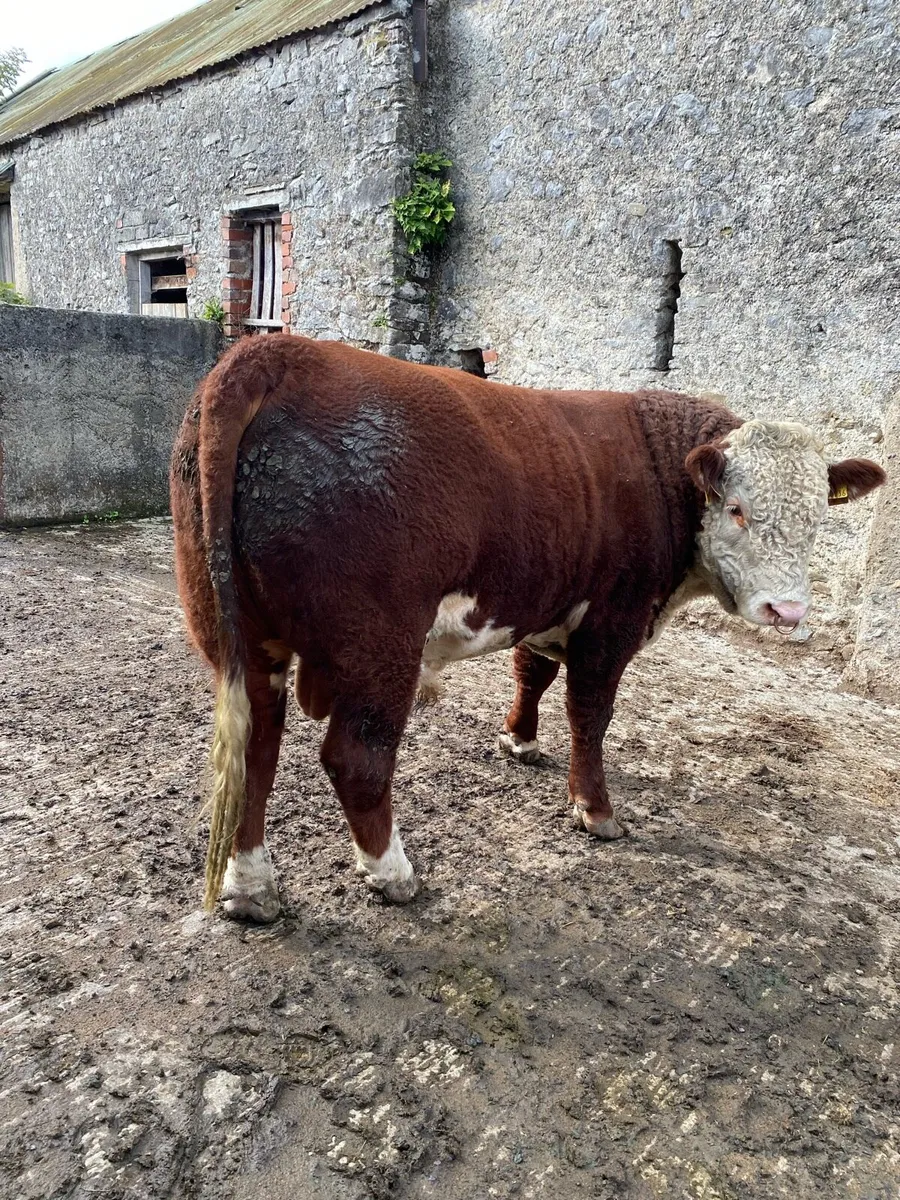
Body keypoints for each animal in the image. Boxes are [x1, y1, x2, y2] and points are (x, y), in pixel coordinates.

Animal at [170, 334, 885, 922]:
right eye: (736, 509)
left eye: (820, 517)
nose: (787, 611)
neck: (661, 470)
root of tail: (273, 352)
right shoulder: (614, 618)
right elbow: (590, 713)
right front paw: (595, 810)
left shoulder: (549, 600)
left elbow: (533, 671)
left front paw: (520, 740)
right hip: (380, 643)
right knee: (356, 757)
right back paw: (394, 873)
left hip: (239, 637)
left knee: (254, 748)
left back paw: (251, 887)